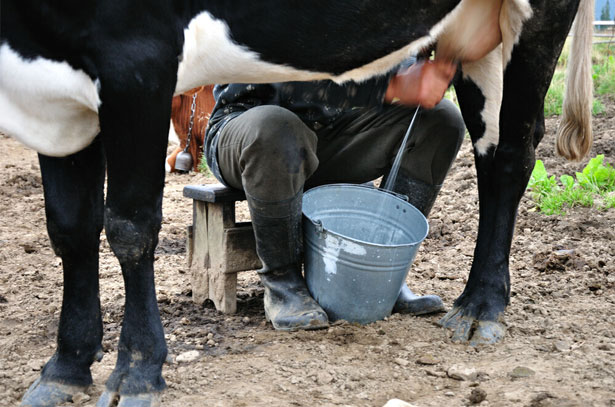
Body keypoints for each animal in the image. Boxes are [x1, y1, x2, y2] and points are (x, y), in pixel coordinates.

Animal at [1, 0, 596, 406]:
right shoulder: (53, 95)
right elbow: (70, 228)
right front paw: (65, 367)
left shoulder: (137, 62)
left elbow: (128, 226)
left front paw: (137, 372)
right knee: (480, 146)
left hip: (535, 18)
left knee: (513, 153)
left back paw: (481, 307)